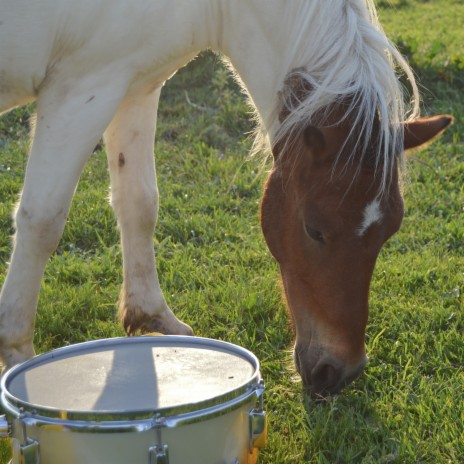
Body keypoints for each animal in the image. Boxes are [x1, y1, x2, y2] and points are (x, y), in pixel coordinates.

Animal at [0, 0, 452, 398]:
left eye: (388, 231)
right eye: (314, 229)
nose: (339, 371)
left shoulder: (134, 86)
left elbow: (139, 204)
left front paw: (152, 317)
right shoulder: (80, 91)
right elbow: (42, 221)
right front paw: (18, 356)